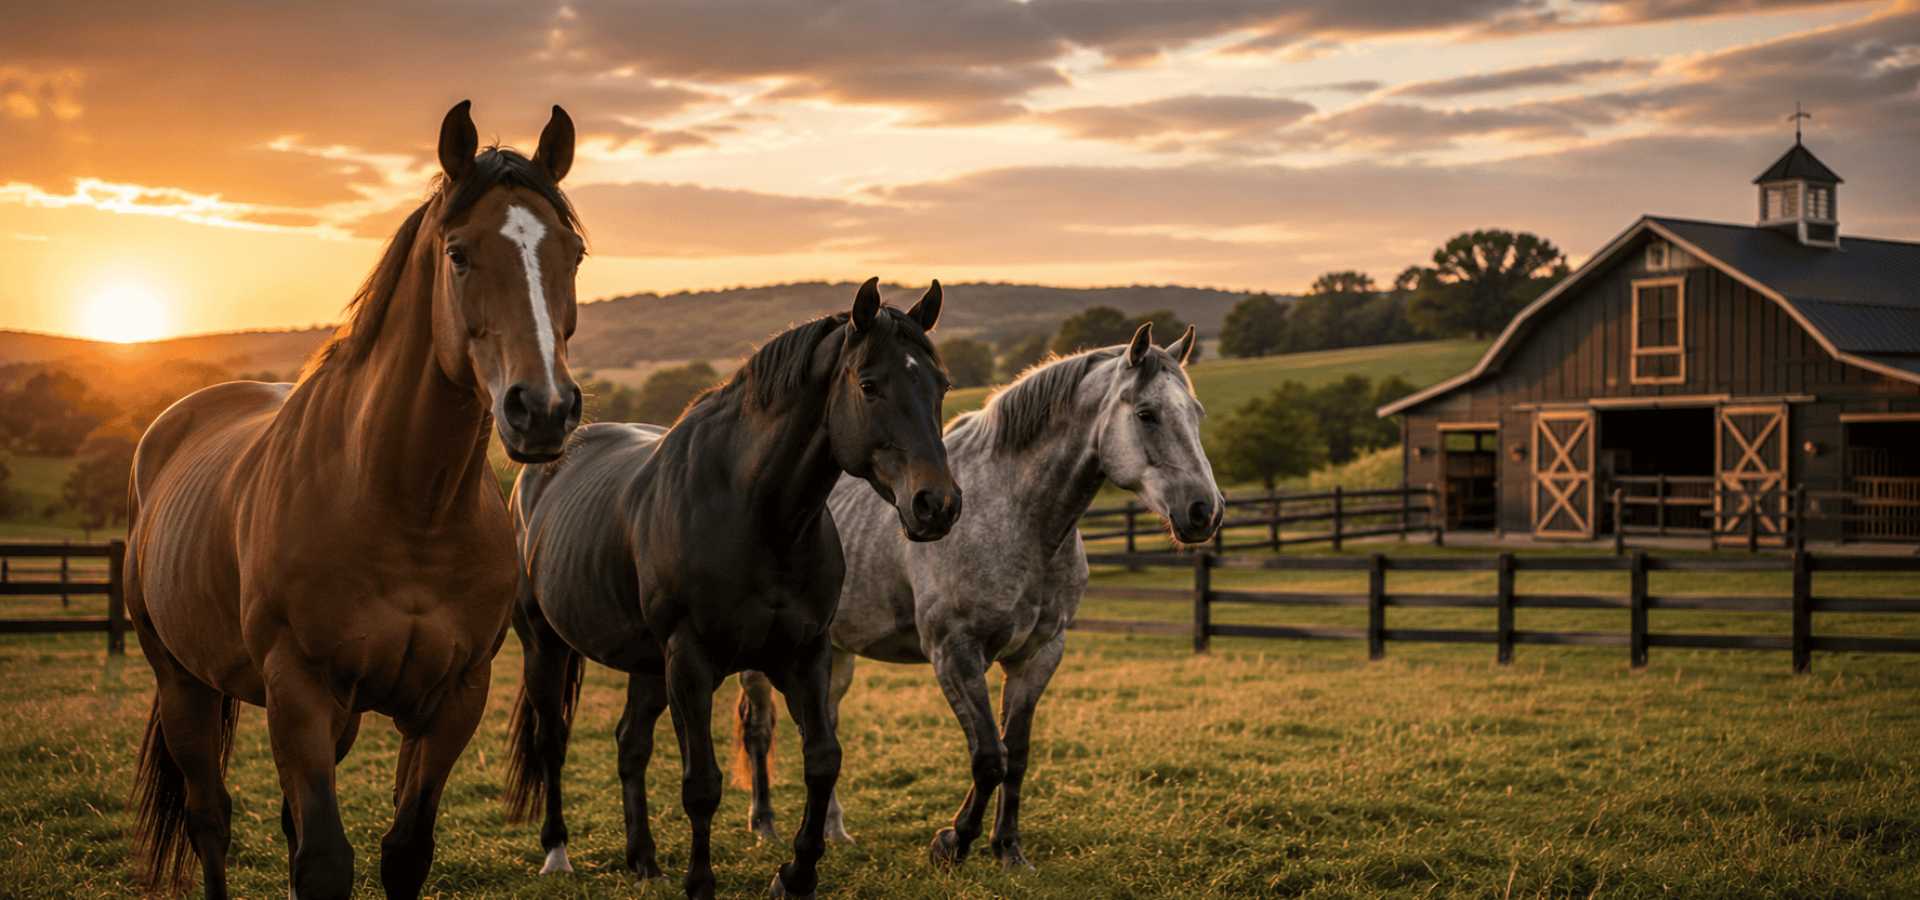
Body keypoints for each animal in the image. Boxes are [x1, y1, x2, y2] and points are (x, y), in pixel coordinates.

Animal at [124, 101, 584, 900]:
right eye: (458, 254)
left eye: (574, 253)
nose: (544, 410)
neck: (405, 510)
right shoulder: (300, 689)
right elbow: (322, 861)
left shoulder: (452, 700)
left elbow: (403, 852)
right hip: (182, 680)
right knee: (208, 816)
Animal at [502, 278, 964, 900]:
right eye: (869, 385)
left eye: (941, 385)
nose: (936, 505)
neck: (756, 513)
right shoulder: (691, 663)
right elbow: (702, 783)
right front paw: (701, 883)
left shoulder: (805, 655)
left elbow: (822, 760)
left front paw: (795, 874)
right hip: (545, 645)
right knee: (551, 740)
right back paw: (557, 854)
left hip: (647, 665)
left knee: (630, 745)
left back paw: (644, 860)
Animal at [734, 322, 1222, 871]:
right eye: (1146, 414)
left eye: (1195, 413)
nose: (1204, 511)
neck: (1014, 515)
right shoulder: (954, 653)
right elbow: (989, 756)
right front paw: (953, 843)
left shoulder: (1037, 655)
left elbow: (1017, 756)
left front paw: (1009, 850)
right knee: (758, 727)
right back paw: (765, 826)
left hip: (836, 652)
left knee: (824, 724)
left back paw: (836, 830)